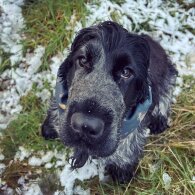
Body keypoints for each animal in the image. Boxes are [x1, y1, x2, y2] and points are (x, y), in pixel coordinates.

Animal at [41, 21, 177, 183]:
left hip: (168, 72)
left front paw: (122, 169)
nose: (85, 126)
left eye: (126, 72)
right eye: (83, 60)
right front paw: (50, 128)